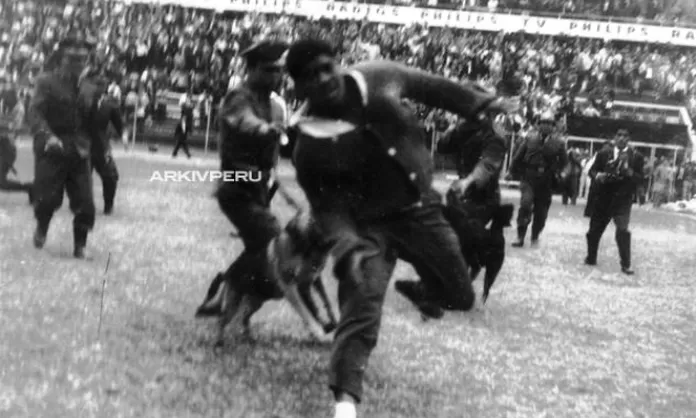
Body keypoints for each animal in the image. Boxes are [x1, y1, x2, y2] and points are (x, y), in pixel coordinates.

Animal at [196, 211, 338, 344]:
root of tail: (227, 272)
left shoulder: (311, 282)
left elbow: (323, 302)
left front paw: (329, 323)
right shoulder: (291, 287)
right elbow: (306, 311)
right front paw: (320, 331)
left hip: (255, 302)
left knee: (242, 318)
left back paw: (248, 338)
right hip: (235, 304)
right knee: (224, 320)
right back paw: (220, 342)